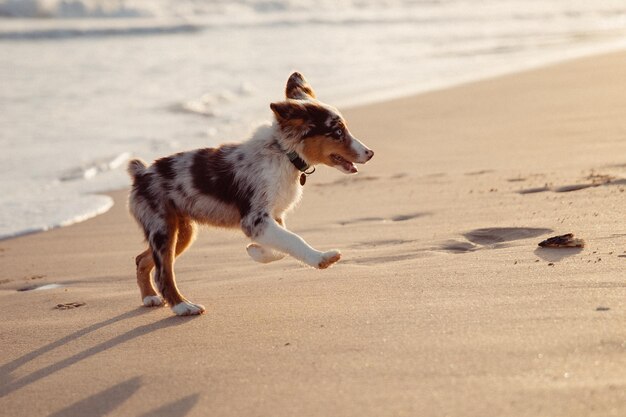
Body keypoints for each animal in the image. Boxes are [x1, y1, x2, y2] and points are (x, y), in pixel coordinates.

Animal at [125, 71, 370, 314]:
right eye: (337, 132)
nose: (370, 153)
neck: (284, 154)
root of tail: (142, 173)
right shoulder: (255, 219)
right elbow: (293, 239)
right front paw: (321, 259)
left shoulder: (273, 217)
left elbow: (281, 247)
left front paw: (256, 251)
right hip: (162, 228)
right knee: (162, 272)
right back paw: (183, 306)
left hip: (182, 231)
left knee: (142, 259)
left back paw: (150, 297)